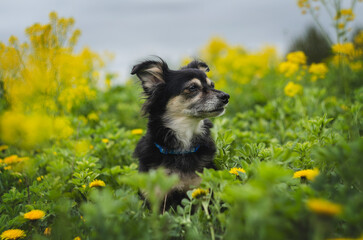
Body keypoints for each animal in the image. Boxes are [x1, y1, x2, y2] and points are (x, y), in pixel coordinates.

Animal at [132, 57, 230, 209]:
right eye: (193, 87)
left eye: (212, 85)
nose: (226, 96)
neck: (182, 149)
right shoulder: (156, 198)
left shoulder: (201, 189)